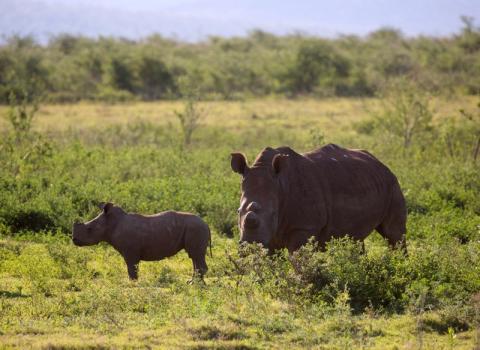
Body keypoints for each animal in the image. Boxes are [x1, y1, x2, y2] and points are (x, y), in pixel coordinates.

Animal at [72, 202, 211, 282]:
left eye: (90, 229)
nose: (74, 240)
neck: (111, 223)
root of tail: (206, 224)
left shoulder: (130, 251)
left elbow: (131, 268)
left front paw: (132, 283)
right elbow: (132, 268)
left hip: (196, 229)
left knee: (195, 255)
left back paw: (195, 285)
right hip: (195, 229)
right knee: (194, 256)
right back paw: (192, 283)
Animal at [231, 144, 406, 253]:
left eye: (274, 214)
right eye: (238, 211)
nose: (248, 248)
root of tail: (380, 163)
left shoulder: (304, 227)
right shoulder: (269, 236)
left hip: (393, 184)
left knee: (394, 234)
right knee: (355, 238)